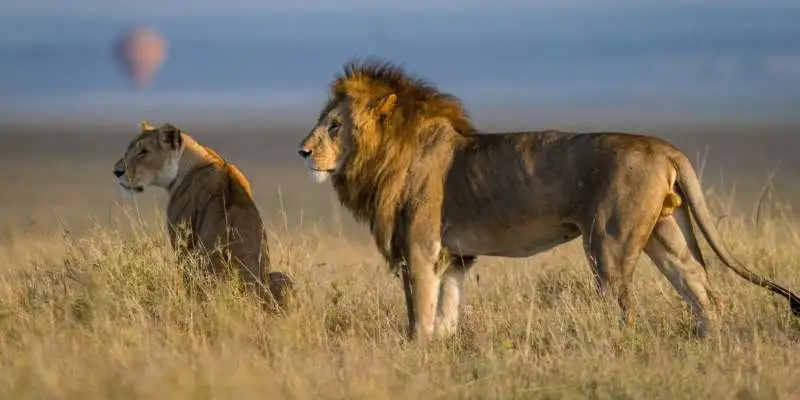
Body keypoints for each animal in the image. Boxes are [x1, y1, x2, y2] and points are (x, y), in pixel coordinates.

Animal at [297, 59, 800, 340]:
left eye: (335, 126)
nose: (301, 152)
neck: (386, 153)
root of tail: (662, 147)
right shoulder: (454, 257)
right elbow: (447, 311)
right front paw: (444, 348)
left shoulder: (420, 250)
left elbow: (418, 314)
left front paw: (416, 353)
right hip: (667, 233)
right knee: (701, 290)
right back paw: (713, 345)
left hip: (607, 244)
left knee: (626, 309)